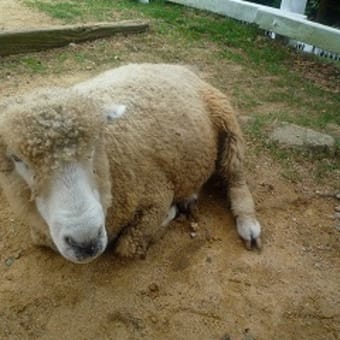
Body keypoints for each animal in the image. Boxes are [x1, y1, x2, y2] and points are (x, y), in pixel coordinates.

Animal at [0, 63, 262, 262]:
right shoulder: (41, 231)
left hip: (227, 123)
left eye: (95, 143)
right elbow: (43, 240)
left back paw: (247, 223)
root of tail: (178, 67)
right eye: (16, 158)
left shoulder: (157, 192)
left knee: (235, 177)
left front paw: (171, 212)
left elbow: (129, 244)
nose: (86, 242)